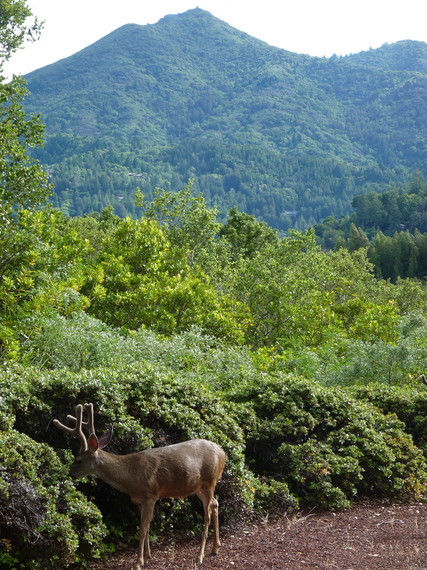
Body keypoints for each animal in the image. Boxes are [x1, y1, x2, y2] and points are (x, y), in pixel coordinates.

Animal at [54, 402, 227, 564]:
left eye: (78, 460)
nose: (70, 473)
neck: (129, 477)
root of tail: (222, 452)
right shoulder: (138, 500)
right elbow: (147, 527)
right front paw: (147, 556)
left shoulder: (150, 495)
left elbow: (142, 530)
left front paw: (138, 562)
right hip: (198, 487)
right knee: (215, 503)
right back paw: (215, 548)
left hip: (209, 480)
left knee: (207, 515)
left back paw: (200, 556)